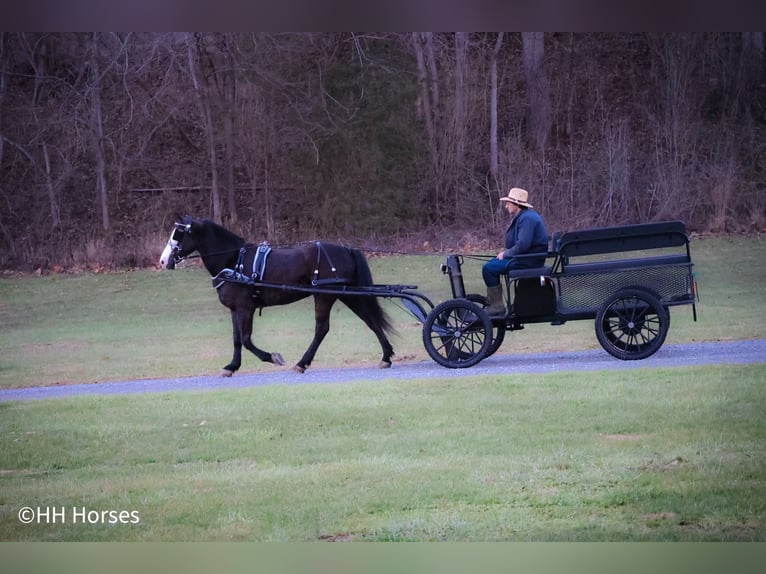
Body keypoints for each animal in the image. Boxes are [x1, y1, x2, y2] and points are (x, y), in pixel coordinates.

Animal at [159, 216, 395, 376]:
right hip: (347, 294)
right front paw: (232, 366)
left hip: (325, 296)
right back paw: (386, 356)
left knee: (322, 329)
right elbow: (237, 339)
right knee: (370, 320)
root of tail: (347, 249)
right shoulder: (236, 309)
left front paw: (273, 357)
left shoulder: (245, 308)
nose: (162, 261)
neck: (234, 261)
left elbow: (246, 340)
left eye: (178, 234)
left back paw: (302, 363)